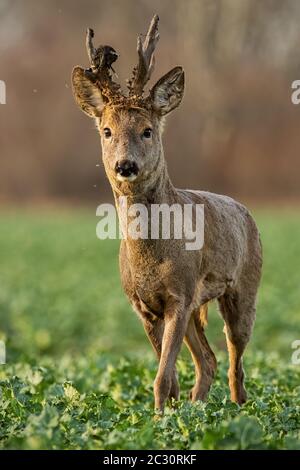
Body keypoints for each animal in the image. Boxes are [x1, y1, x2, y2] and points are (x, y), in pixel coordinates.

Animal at [72, 15, 262, 412]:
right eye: (107, 130)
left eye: (147, 130)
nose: (125, 165)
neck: (150, 256)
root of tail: (245, 210)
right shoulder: (143, 305)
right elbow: (169, 376)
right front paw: (168, 415)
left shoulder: (181, 294)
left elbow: (161, 377)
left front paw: (161, 418)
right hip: (196, 310)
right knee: (208, 360)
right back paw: (199, 407)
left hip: (243, 287)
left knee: (236, 361)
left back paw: (239, 411)